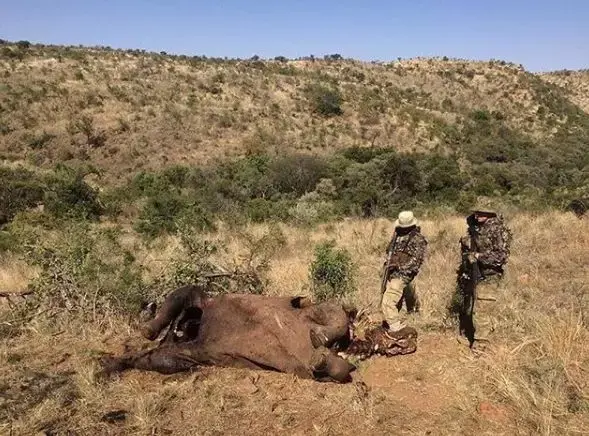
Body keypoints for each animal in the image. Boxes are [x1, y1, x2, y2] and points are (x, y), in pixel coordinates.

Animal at [99, 284, 416, 384]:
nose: (410, 339)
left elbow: (336, 367)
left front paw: (321, 356)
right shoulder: (320, 307)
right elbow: (336, 313)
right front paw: (319, 338)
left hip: (190, 352)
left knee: (155, 356)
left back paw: (110, 365)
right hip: (206, 305)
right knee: (187, 293)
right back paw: (145, 329)